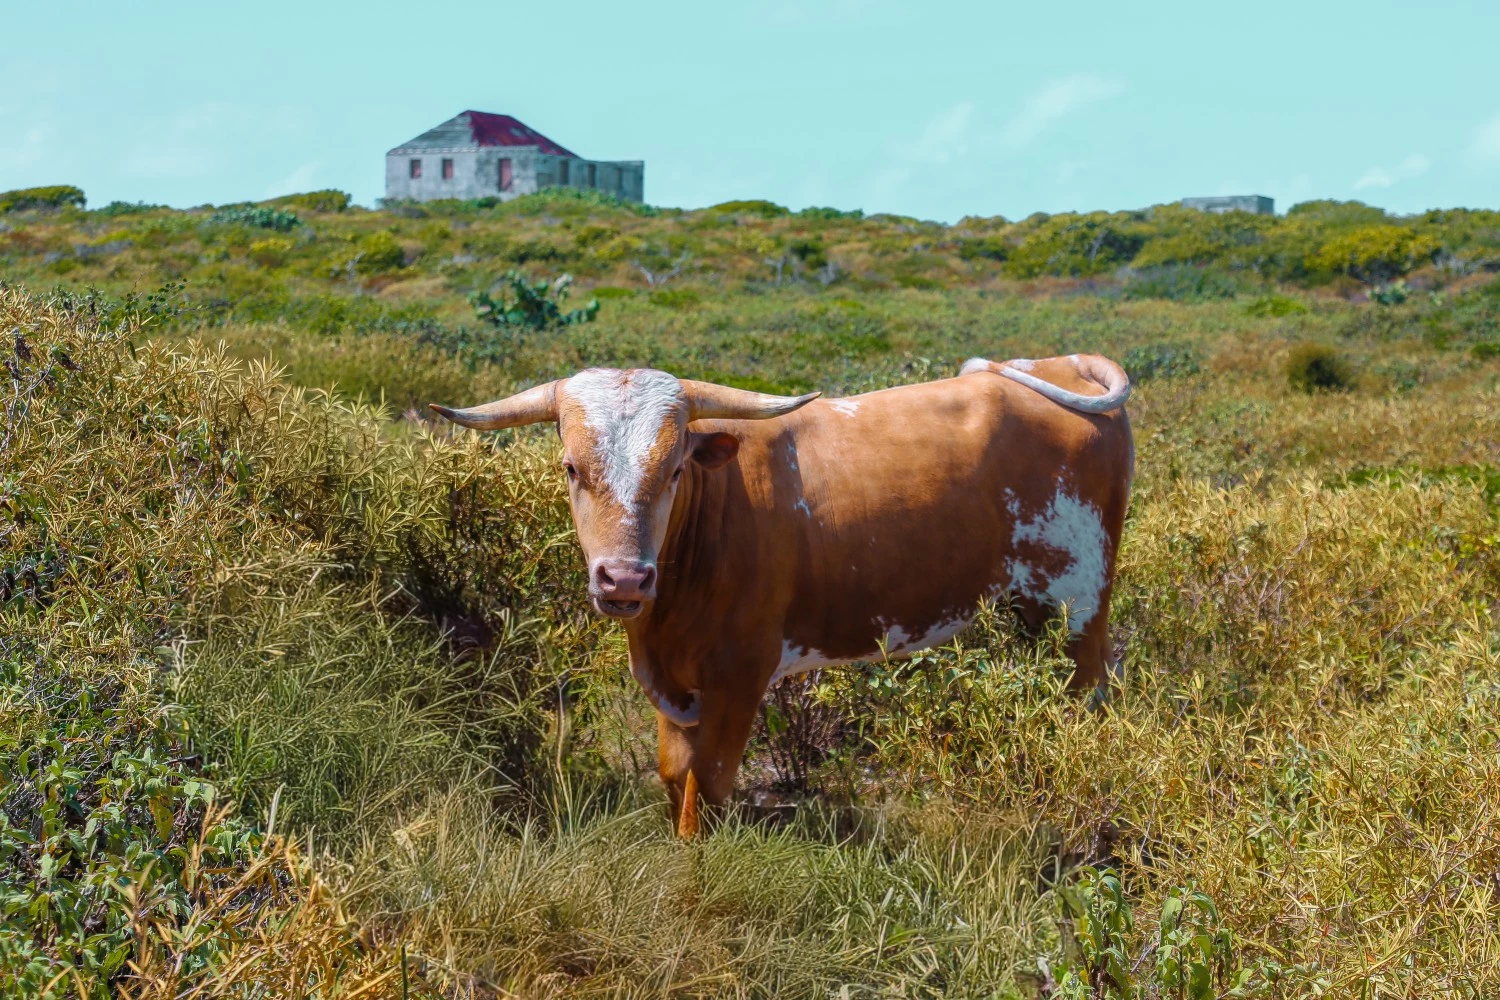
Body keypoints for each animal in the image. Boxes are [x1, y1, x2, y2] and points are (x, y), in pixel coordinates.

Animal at [431, 353, 1133, 837]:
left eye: (675, 469)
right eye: (572, 468)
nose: (625, 580)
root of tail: (1058, 363)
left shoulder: (741, 675)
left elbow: (708, 788)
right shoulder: (672, 686)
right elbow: (674, 774)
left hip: (1077, 613)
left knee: (1087, 712)